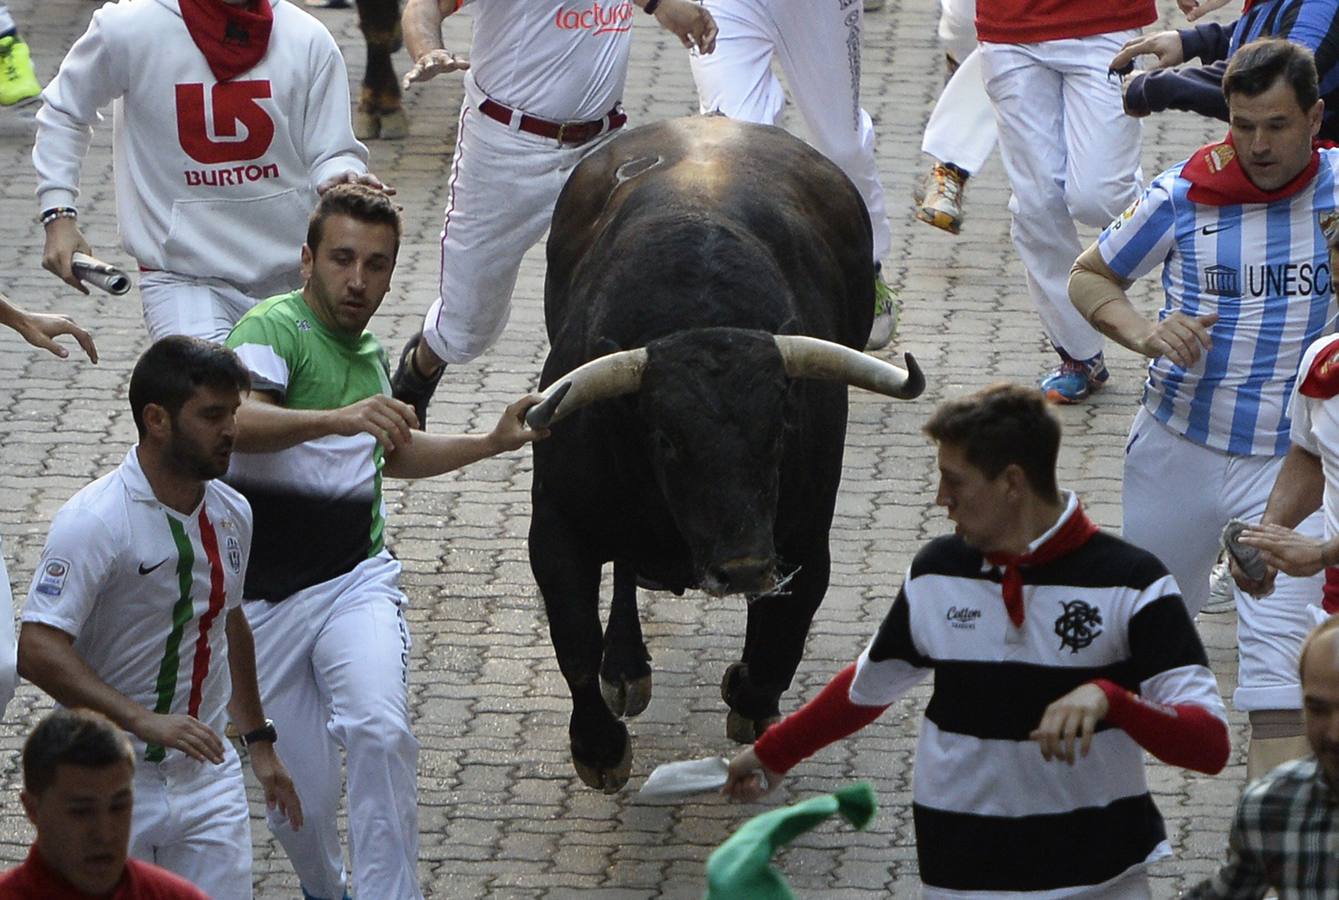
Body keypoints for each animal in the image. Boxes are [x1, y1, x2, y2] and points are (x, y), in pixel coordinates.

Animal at [522, 115, 921, 792]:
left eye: (780, 427)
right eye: (665, 438)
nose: (743, 568)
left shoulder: (804, 537)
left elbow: (782, 640)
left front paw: (748, 696)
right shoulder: (557, 525)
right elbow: (573, 640)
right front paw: (599, 748)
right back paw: (626, 666)